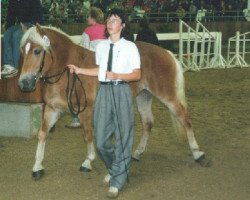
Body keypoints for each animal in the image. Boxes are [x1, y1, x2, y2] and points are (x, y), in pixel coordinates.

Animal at [18, 24, 208, 180]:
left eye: (37, 51)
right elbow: (42, 134)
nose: (24, 83)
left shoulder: (85, 111)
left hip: (167, 96)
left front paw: (87, 162)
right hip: (144, 96)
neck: (67, 72)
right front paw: (37, 167)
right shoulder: (52, 110)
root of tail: (165, 52)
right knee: (148, 123)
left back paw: (198, 154)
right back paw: (137, 153)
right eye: (23, 51)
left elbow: (87, 135)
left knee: (185, 118)